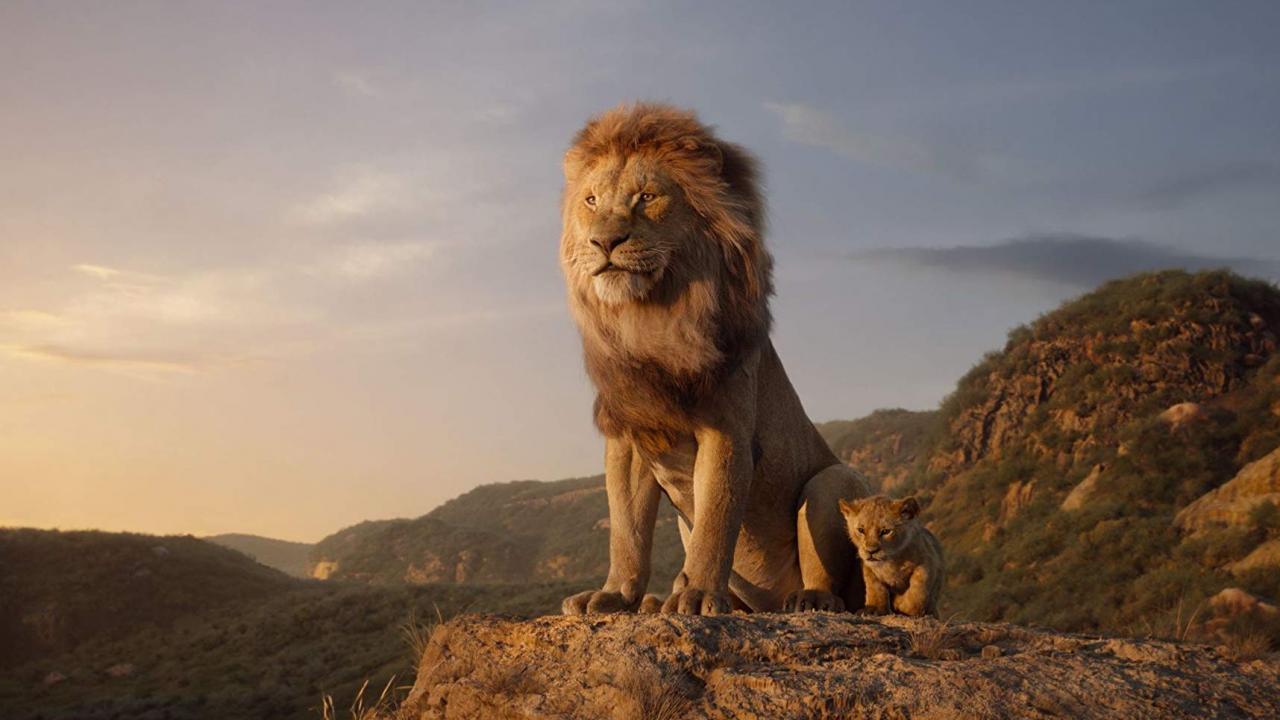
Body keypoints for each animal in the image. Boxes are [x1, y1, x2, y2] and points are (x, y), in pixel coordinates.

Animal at [560, 103, 870, 614]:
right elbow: (626, 530)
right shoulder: (629, 435)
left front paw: (699, 594)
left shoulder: (726, 429)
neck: (650, 318)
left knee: (834, 581)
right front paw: (615, 595)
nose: (604, 242)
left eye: (647, 197)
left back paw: (808, 599)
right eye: (590, 201)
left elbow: (716, 520)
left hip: (834, 481)